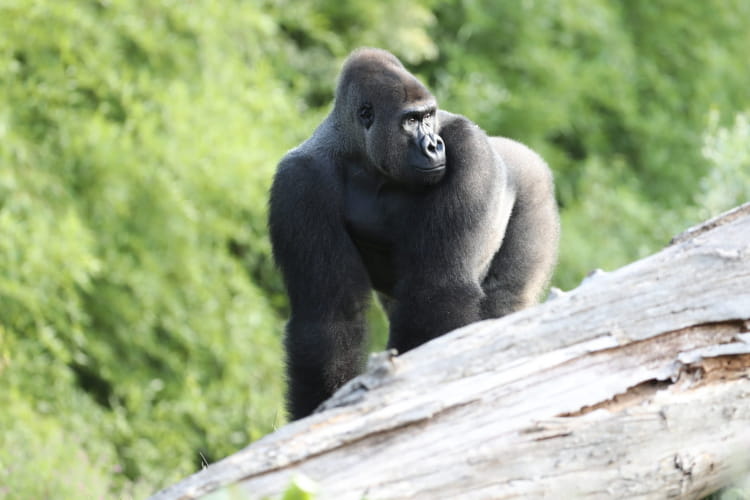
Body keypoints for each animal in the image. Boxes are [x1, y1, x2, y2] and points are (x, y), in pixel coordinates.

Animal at [270, 48, 560, 420]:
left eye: (429, 116)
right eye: (410, 121)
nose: (434, 146)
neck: (364, 160)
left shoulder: (468, 148)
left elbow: (438, 288)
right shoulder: (298, 181)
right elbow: (329, 318)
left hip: (533, 181)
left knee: (505, 300)